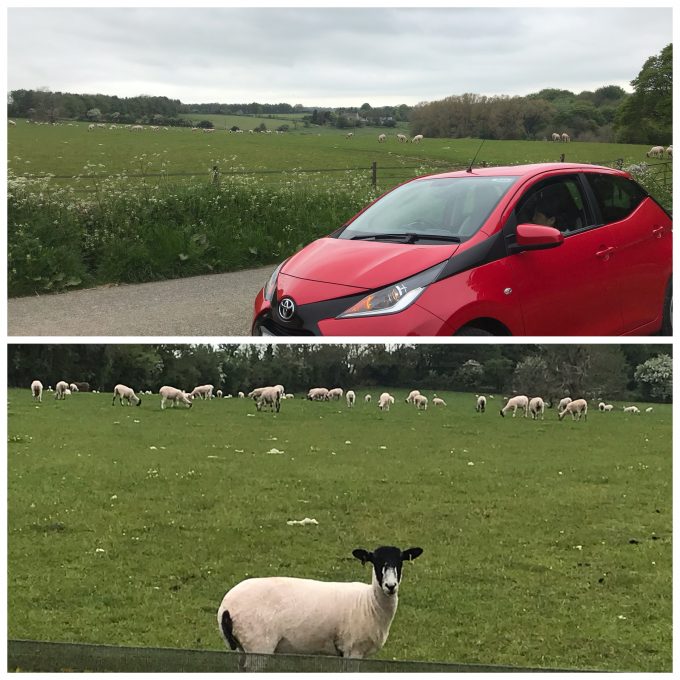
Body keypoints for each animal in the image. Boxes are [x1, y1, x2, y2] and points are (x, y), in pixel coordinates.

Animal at [216, 548, 420, 664]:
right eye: (375, 561)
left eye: (400, 561)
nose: (391, 586)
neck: (368, 602)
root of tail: (225, 607)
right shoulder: (352, 649)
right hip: (258, 645)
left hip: (243, 647)